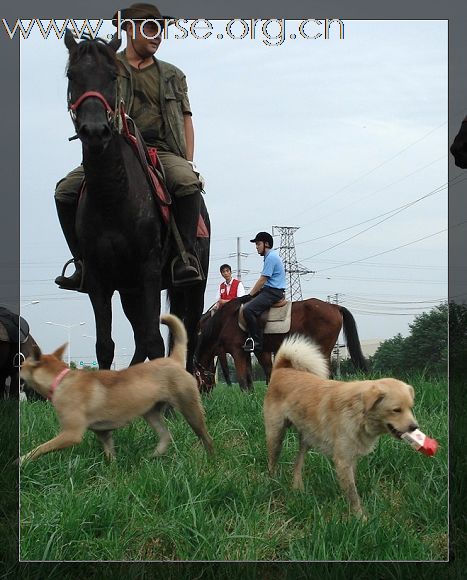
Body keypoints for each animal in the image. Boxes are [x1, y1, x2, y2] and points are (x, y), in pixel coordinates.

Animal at [19, 314, 214, 464]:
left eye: (22, 365)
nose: (16, 367)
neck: (60, 379)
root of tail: (173, 359)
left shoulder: (70, 434)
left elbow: (41, 448)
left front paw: (22, 460)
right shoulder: (103, 433)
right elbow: (110, 453)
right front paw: (112, 470)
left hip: (189, 408)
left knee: (205, 436)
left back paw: (211, 459)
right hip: (151, 412)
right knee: (166, 435)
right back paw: (153, 456)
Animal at [65, 31, 211, 370]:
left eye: (112, 76)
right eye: (71, 75)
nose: (94, 131)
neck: (112, 198)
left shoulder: (148, 271)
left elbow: (156, 342)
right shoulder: (98, 278)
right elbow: (105, 346)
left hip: (193, 286)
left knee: (185, 336)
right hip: (129, 291)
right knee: (140, 339)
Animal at [193, 300, 366, 390]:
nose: (203, 394)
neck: (225, 321)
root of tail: (335, 306)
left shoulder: (237, 351)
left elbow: (243, 379)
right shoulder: (251, 352)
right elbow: (252, 377)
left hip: (323, 350)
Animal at [264, 334, 420, 520]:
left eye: (410, 407)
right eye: (396, 410)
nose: (414, 427)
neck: (358, 412)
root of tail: (281, 368)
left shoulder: (350, 458)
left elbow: (350, 486)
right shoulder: (343, 460)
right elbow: (353, 494)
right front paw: (361, 519)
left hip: (307, 438)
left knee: (298, 462)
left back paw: (298, 488)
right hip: (275, 435)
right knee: (272, 463)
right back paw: (273, 485)